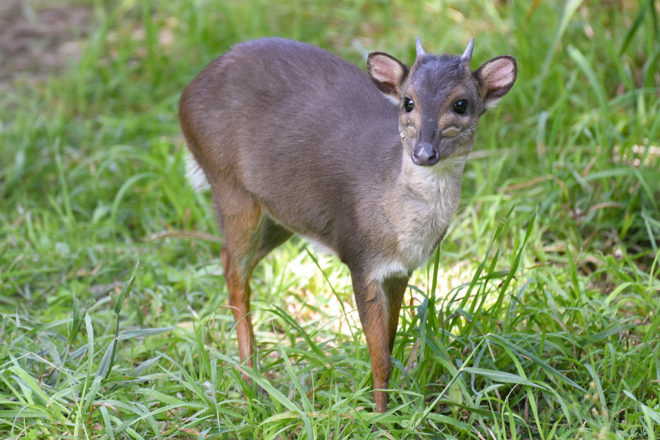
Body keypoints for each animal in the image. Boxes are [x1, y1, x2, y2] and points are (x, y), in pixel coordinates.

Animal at [179, 36, 516, 410]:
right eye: (408, 102)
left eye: (461, 103)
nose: (424, 152)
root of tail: (187, 93)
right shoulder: (361, 258)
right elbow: (380, 356)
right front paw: (381, 415)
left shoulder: (400, 271)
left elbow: (388, 342)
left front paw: (391, 404)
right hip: (230, 185)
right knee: (236, 275)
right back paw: (252, 383)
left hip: (280, 214)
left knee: (232, 260)